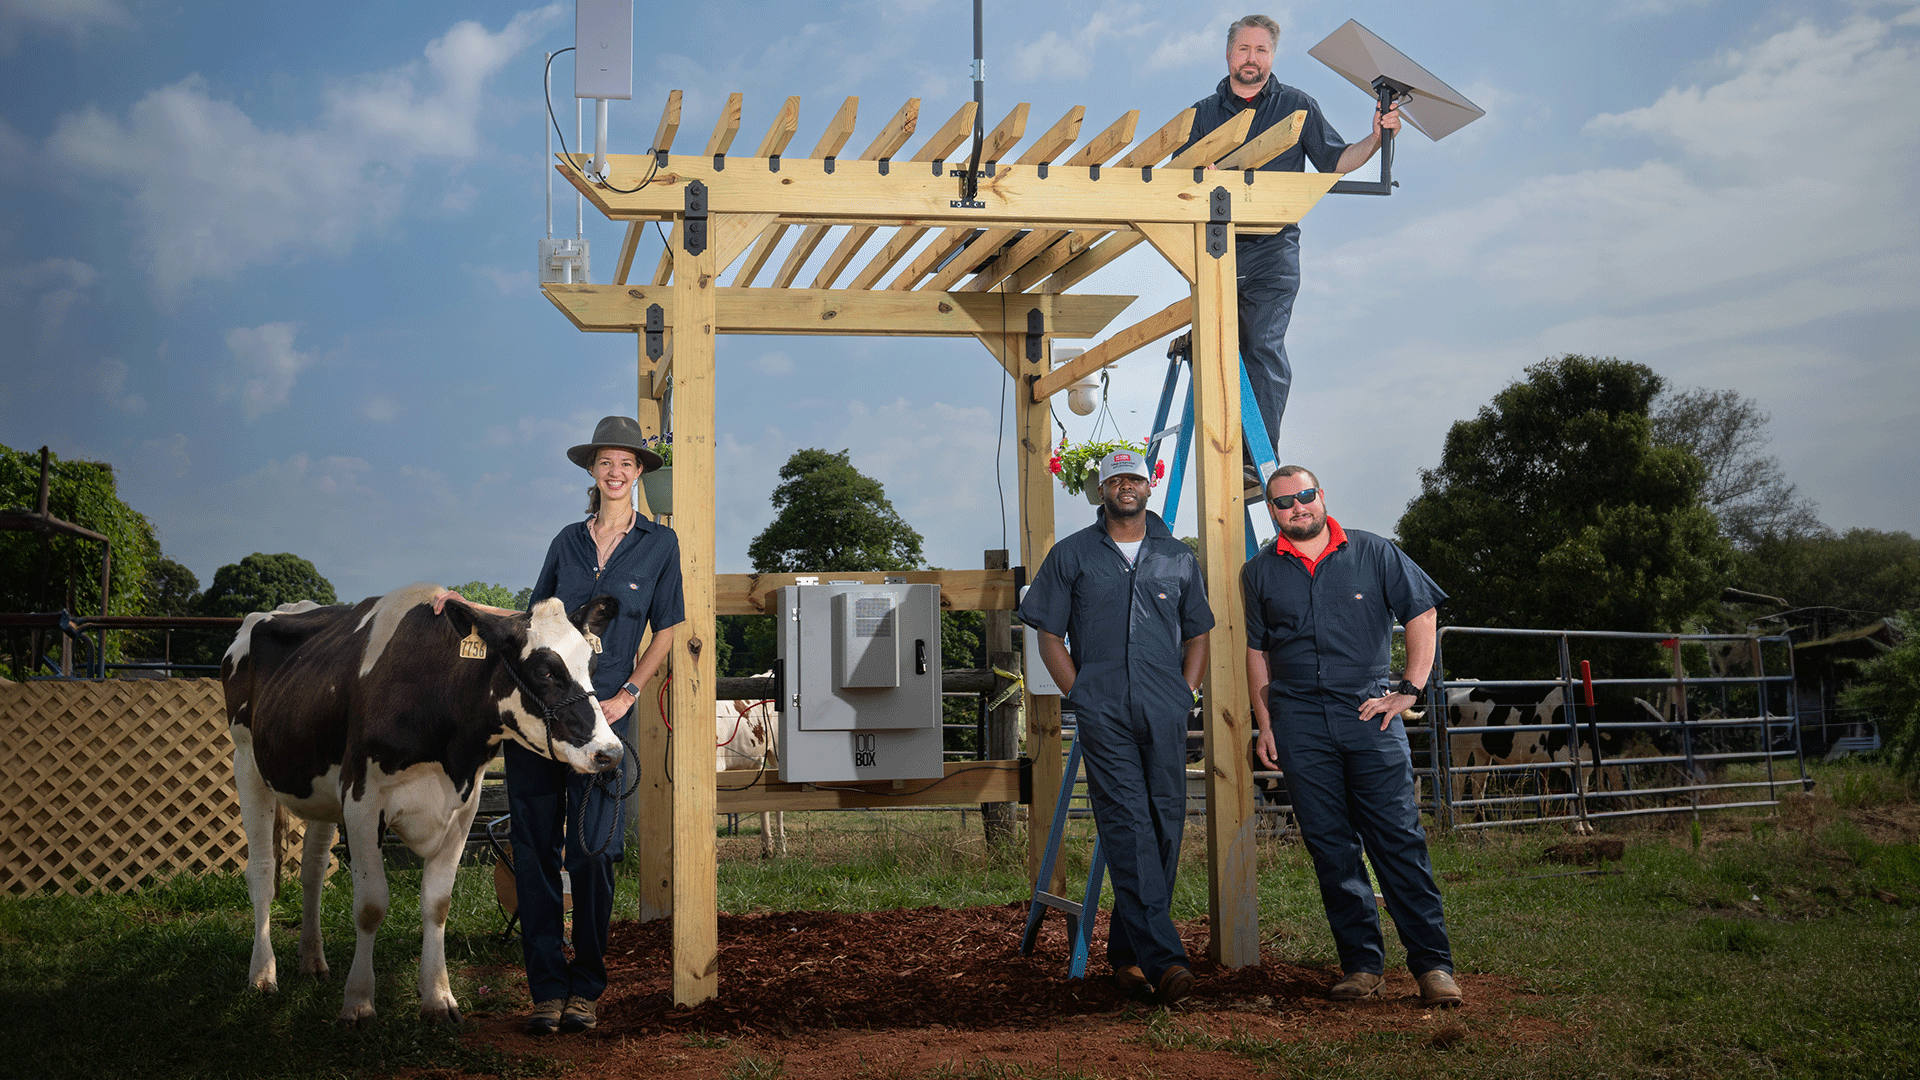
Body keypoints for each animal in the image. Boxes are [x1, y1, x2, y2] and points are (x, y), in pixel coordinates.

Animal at [221, 584, 618, 1022]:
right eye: (545, 670)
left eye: (592, 666)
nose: (609, 752)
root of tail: (288, 608)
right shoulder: (362, 802)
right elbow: (370, 905)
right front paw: (359, 1001)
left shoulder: (464, 809)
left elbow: (437, 903)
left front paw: (438, 997)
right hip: (247, 763)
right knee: (261, 872)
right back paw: (262, 974)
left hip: (319, 788)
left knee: (313, 871)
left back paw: (312, 959)